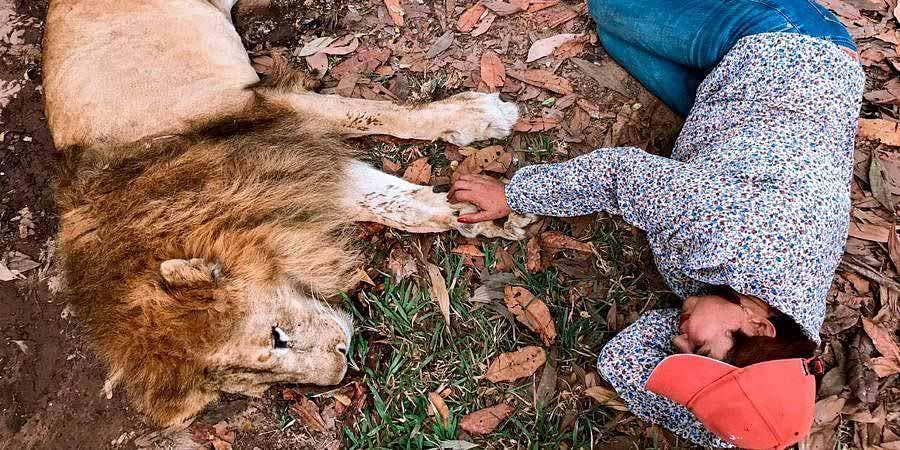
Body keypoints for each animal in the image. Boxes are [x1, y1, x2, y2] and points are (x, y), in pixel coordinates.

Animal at [42, 0, 532, 428]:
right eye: (261, 386)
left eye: (276, 337)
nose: (340, 369)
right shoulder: (286, 175)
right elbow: (394, 203)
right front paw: (484, 212)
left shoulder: (264, 114)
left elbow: (374, 113)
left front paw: (478, 117)